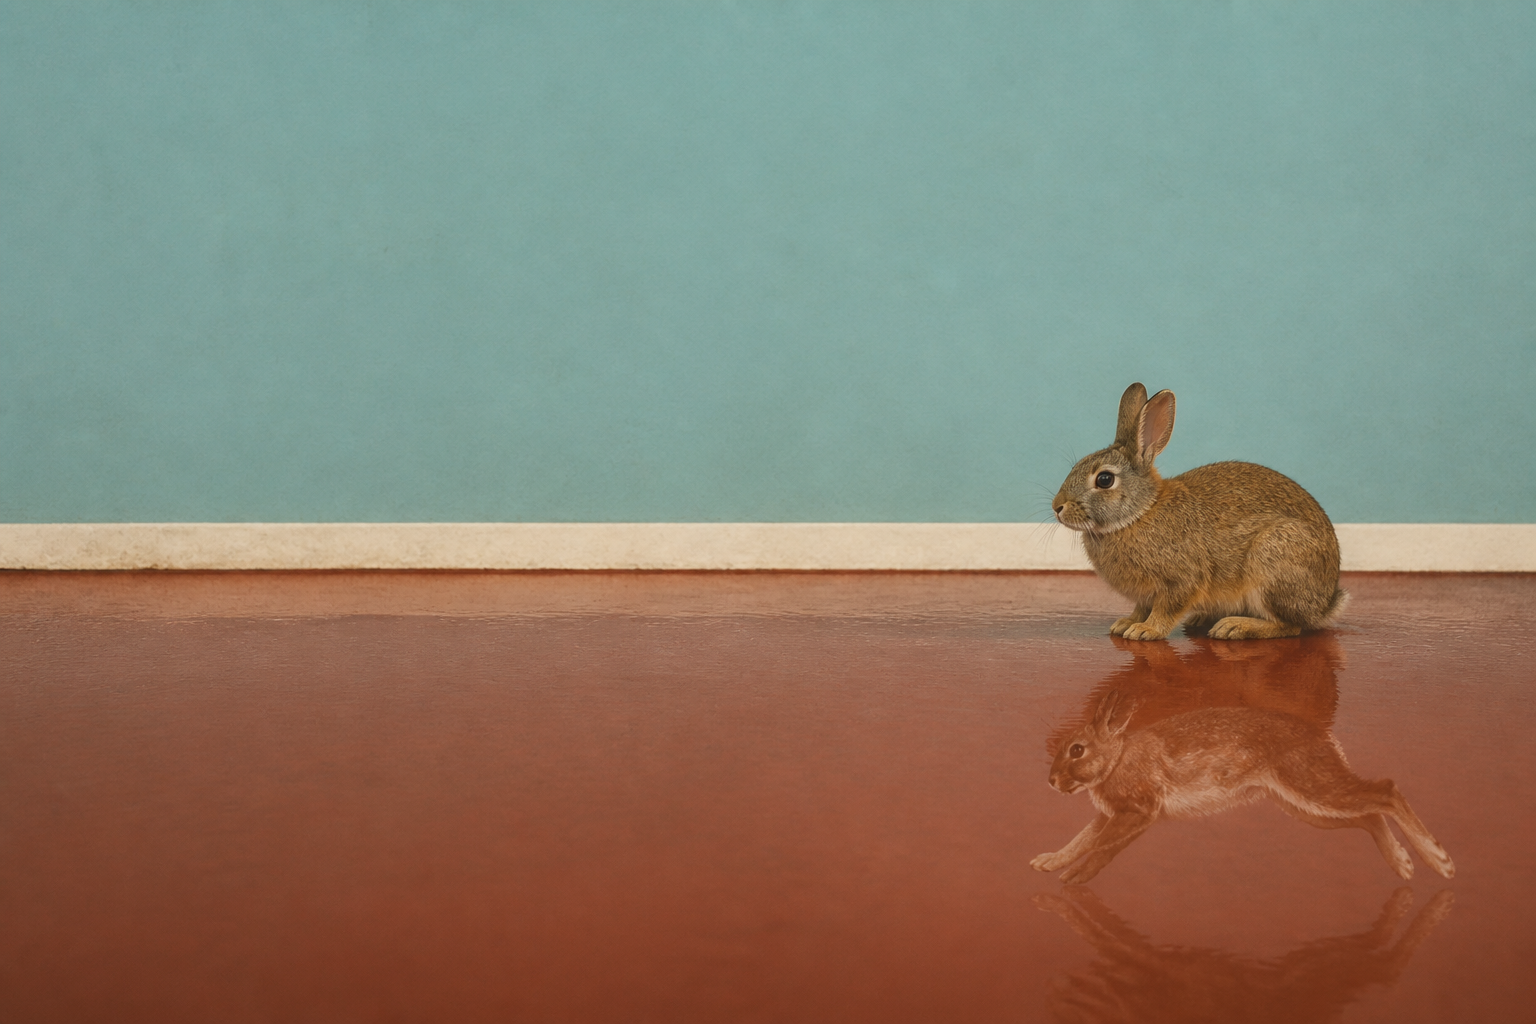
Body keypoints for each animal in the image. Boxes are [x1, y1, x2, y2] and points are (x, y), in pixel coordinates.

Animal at [1031, 691, 1455, 884]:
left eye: (1077, 749)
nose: (1051, 781)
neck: (1116, 757)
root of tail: (1323, 738)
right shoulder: (1111, 816)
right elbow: (1081, 840)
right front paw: (1047, 863)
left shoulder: (1137, 812)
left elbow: (1101, 847)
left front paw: (1072, 879)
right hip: (1304, 806)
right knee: (1370, 816)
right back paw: (1402, 865)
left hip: (1312, 787)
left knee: (1387, 791)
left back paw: (1440, 862)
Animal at [1052, 382, 1345, 640]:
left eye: (1104, 480)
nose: (1057, 507)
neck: (1139, 513)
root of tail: (1325, 604)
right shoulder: (1146, 596)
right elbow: (1141, 608)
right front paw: (1126, 623)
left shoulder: (1182, 580)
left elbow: (1166, 609)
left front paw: (1145, 631)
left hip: (1272, 564)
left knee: (1289, 626)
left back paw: (1233, 627)